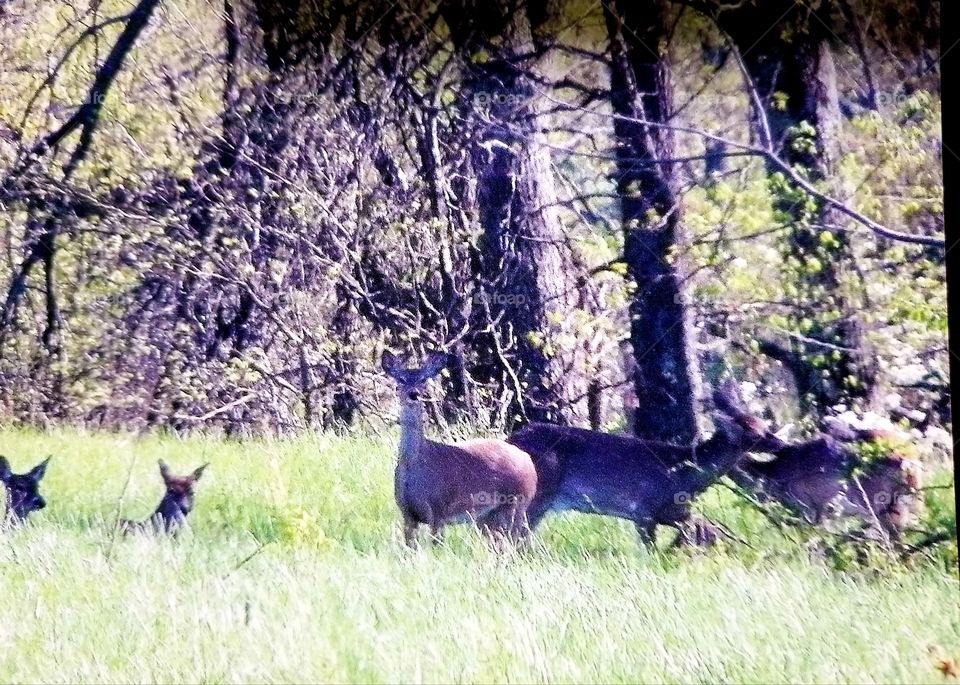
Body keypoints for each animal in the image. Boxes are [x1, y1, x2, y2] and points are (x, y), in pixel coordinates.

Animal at [381, 351, 538, 547]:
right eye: (401, 379)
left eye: (423, 379)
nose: (413, 394)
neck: (415, 466)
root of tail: (529, 462)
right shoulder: (407, 514)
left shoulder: (439, 509)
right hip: (489, 516)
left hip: (517, 502)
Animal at [506, 381, 787, 546]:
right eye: (755, 432)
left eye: (764, 425)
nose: (781, 443)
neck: (682, 477)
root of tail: (512, 438)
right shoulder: (643, 509)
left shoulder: (673, 513)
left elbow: (705, 528)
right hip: (538, 495)